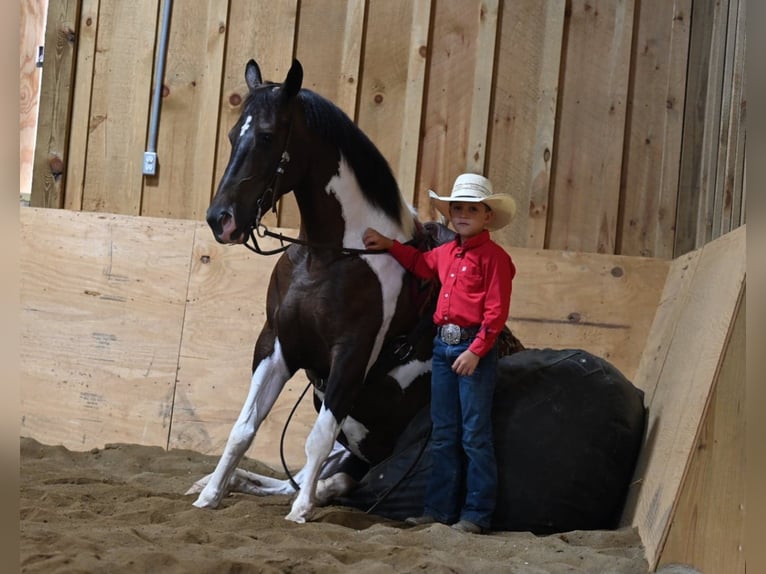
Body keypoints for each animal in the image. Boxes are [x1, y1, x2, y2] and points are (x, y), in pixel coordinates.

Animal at [188, 59, 444, 528]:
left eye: (267, 135)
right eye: (233, 135)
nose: (221, 219)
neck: (330, 256)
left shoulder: (351, 355)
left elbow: (318, 436)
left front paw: (300, 512)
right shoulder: (275, 345)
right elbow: (242, 429)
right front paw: (211, 493)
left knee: (329, 478)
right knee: (299, 477)